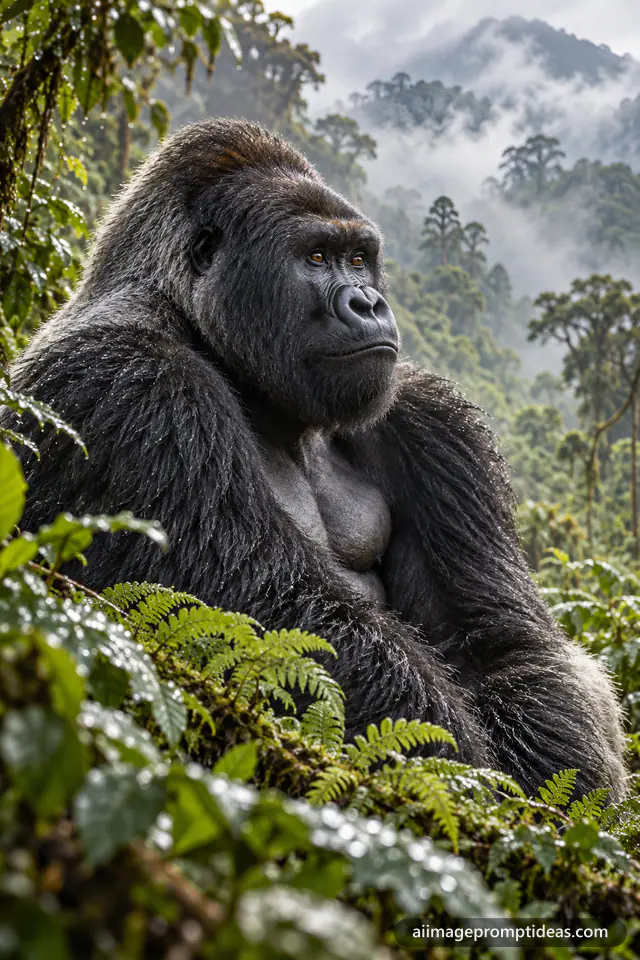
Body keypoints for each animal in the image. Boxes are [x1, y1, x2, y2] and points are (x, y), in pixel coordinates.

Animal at [2, 118, 626, 799]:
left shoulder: (430, 420)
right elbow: (279, 623)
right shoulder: (135, 385)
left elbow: (509, 646)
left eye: (359, 259)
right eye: (317, 257)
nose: (368, 303)